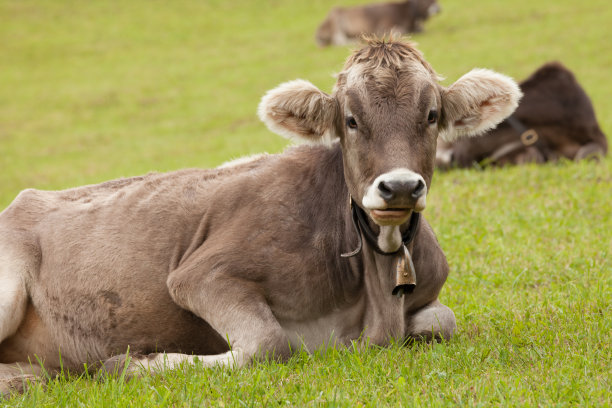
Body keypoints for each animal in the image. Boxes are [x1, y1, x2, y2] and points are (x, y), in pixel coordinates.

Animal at [0, 38, 520, 396]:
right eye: (351, 121)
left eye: (431, 115)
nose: (400, 186)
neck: (375, 293)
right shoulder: (200, 274)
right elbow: (271, 344)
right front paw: (128, 364)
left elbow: (443, 321)